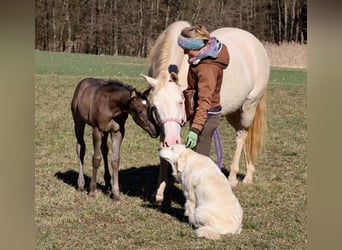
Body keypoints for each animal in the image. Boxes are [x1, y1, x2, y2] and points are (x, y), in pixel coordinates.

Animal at [142, 20, 270, 204]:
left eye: (180, 101)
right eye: (154, 106)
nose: (173, 140)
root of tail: (255, 43)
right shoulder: (166, 127)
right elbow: (163, 151)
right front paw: (159, 192)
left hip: (249, 107)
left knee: (241, 136)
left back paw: (235, 177)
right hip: (233, 112)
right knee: (245, 138)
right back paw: (249, 172)